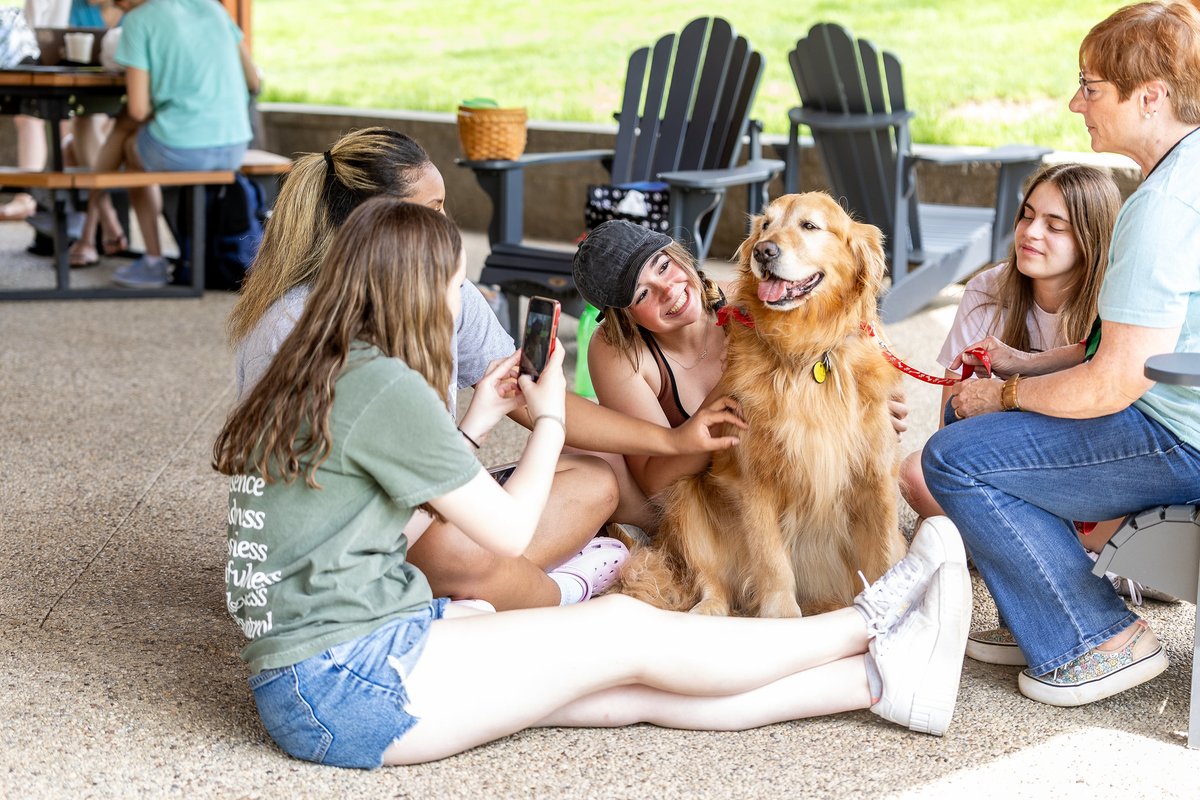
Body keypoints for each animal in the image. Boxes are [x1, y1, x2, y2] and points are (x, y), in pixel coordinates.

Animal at [624, 190, 902, 618]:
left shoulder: (877, 477)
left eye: (810, 225)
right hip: (687, 496)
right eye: (765, 225)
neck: (807, 352)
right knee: (713, 583)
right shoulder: (754, 479)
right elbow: (772, 560)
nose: (763, 251)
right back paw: (709, 610)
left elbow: (885, 556)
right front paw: (782, 616)